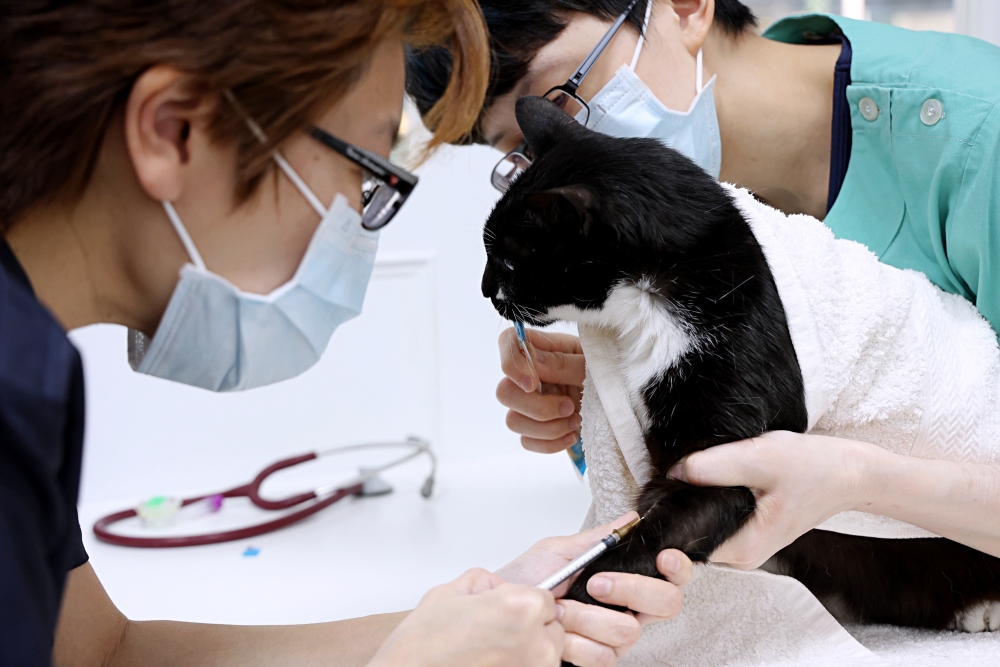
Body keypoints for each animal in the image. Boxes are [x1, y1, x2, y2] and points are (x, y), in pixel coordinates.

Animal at [484, 94, 1000, 632]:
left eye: (509, 263)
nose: (483, 288)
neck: (660, 299)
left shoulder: (727, 444)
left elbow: (656, 532)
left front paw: (581, 603)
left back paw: (981, 608)